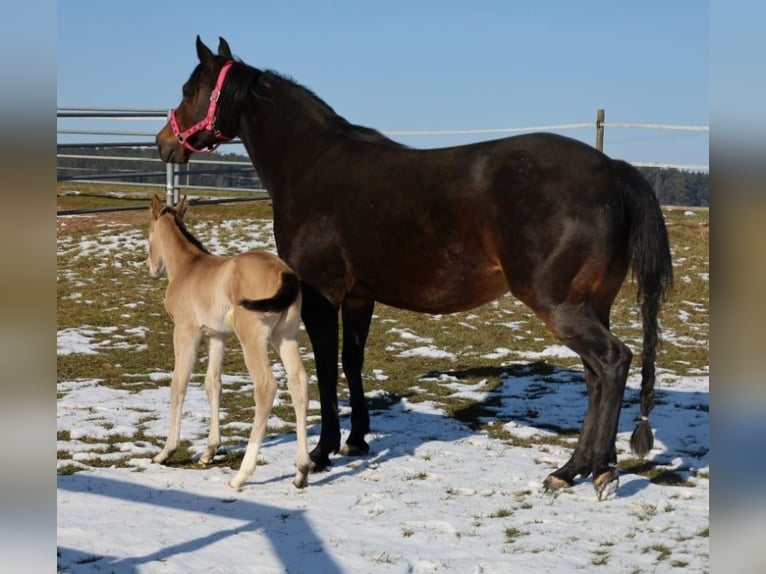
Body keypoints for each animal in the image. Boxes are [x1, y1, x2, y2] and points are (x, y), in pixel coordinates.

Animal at [146, 194, 310, 489]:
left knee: (266, 387)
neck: (188, 268)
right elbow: (213, 384)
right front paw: (209, 451)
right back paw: (301, 471)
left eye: (148, 234)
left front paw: (166, 452)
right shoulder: (216, 336)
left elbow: (179, 384)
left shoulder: (186, 331)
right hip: (286, 336)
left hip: (252, 338)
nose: (151, 268)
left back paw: (241, 475)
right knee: (298, 382)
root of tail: (286, 275)